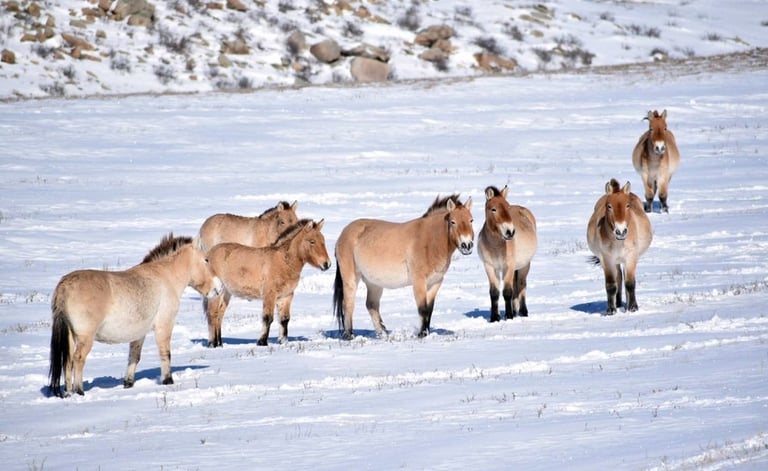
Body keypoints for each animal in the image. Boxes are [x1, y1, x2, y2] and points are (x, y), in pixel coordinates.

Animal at [48, 233, 223, 398]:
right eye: (206, 259)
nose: (219, 287)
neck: (165, 277)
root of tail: (64, 286)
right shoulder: (164, 326)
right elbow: (165, 353)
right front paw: (168, 381)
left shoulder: (139, 333)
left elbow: (134, 357)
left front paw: (128, 383)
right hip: (85, 337)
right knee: (77, 359)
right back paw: (79, 391)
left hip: (70, 336)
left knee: (67, 362)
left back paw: (68, 393)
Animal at [333, 194, 474, 340]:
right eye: (453, 222)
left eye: (471, 220)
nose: (467, 245)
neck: (430, 241)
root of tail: (342, 235)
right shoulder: (419, 282)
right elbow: (422, 309)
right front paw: (421, 335)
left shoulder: (435, 282)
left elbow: (429, 310)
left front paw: (426, 333)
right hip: (351, 278)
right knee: (348, 304)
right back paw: (349, 335)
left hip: (374, 283)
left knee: (371, 305)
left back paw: (384, 334)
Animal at [477, 185, 537, 322]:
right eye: (493, 209)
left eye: (508, 207)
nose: (510, 232)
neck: (496, 245)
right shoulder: (490, 267)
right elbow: (494, 292)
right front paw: (494, 318)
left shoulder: (508, 267)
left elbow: (508, 291)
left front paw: (509, 316)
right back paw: (515, 311)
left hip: (525, 266)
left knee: (521, 285)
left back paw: (523, 311)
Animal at [586, 179, 653, 315]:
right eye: (609, 206)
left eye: (627, 205)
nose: (621, 231)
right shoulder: (607, 259)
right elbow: (611, 285)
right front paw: (611, 310)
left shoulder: (631, 257)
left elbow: (630, 283)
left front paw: (633, 307)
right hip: (616, 261)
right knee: (619, 278)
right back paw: (618, 303)